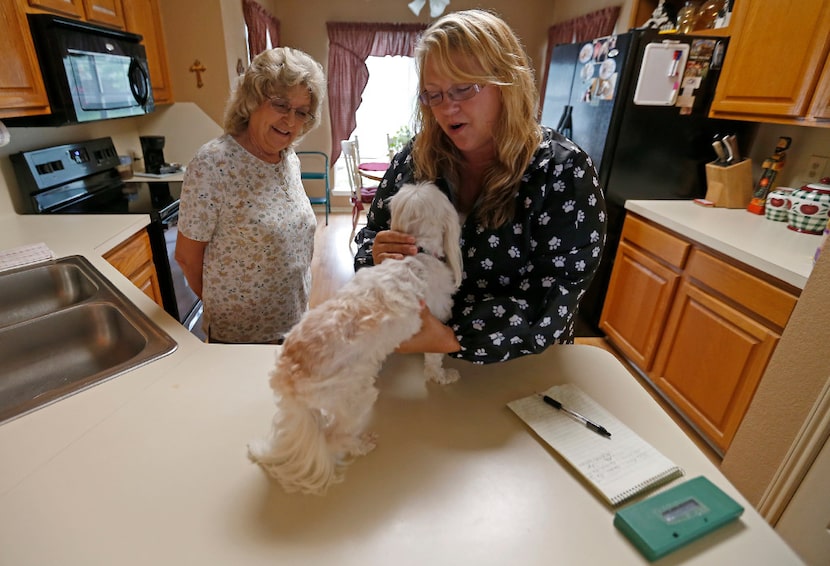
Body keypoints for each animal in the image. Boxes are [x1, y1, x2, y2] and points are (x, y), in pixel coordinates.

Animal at [250, 183, 464, 496]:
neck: (417, 253)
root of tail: (288, 373)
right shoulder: (435, 313)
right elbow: (434, 359)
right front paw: (443, 375)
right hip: (354, 394)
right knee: (334, 437)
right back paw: (360, 445)